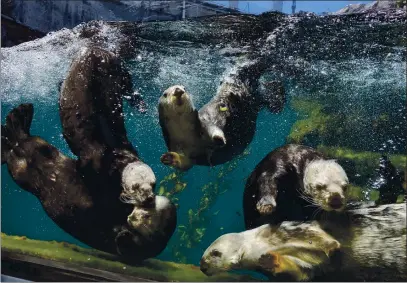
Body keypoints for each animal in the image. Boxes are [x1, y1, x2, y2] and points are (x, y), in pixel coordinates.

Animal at [1, 104, 177, 262]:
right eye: (151, 188)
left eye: (145, 215)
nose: (148, 199)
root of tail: (17, 147)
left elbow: (123, 243)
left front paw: (123, 234)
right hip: (42, 149)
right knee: (33, 142)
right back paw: (22, 113)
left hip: (21, 172)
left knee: (17, 153)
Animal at [59, 46, 156, 206]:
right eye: (135, 187)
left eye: (153, 184)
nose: (149, 198)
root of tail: (97, 49)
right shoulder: (90, 158)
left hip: (122, 72)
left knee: (129, 89)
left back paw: (141, 106)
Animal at [158, 60, 286, 171]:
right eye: (165, 94)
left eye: (184, 88)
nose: (178, 90)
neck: (187, 134)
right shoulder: (179, 148)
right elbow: (185, 164)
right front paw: (168, 158)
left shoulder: (205, 121)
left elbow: (213, 128)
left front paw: (219, 138)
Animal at [201, 223, 342, 282]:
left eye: (214, 253)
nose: (202, 268)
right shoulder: (302, 265)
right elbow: (302, 274)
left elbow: (320, 238)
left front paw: (332, 247)